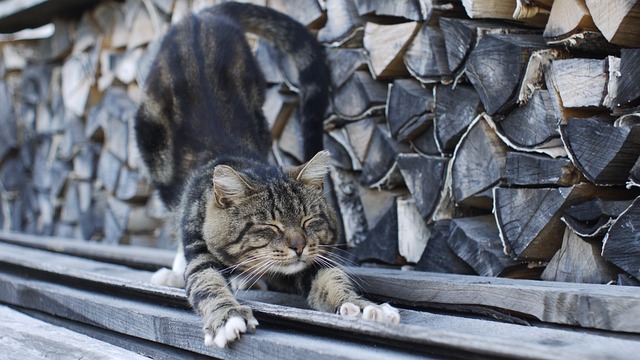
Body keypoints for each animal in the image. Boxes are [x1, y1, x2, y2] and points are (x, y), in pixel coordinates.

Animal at [134, 1, 400, 348]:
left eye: (308, 221)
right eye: (270, 226)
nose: (298, 246)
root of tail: (201, 15)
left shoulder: (309, 262)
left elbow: (331, 278)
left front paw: (365, 306)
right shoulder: (200, 251)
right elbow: (207, 283)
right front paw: (227, 317)